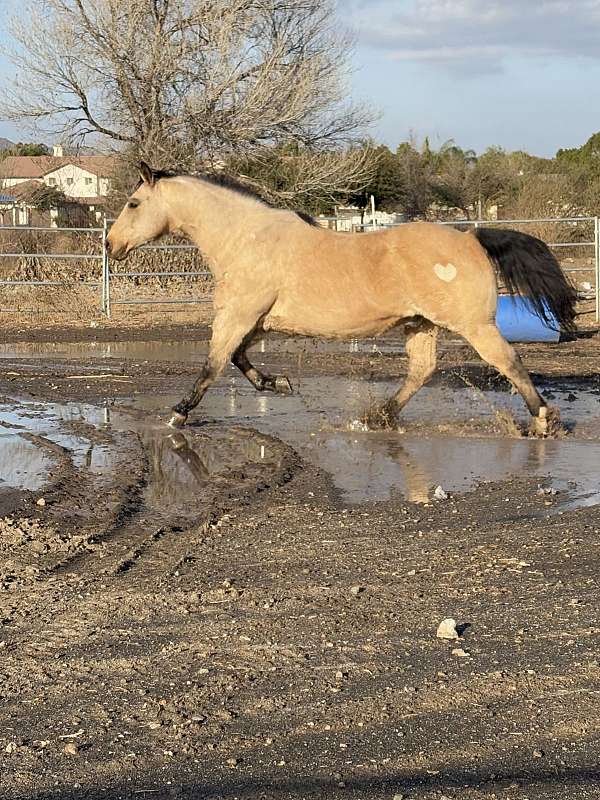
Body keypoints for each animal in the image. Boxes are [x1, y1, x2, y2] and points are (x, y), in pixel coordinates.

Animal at [106, 162, 576, 436]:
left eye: (133, 203)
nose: (111, 245)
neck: (245, 238)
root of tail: (469, 237)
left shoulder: (237, 316)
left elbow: (213, 365)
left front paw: (179, 413)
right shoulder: (256, 322)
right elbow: (239, 360)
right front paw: (277, 384)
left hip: (473, 325)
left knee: (508, 361)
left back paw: (543, 421)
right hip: (420, 325)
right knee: (422, 370)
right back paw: (377, 417)